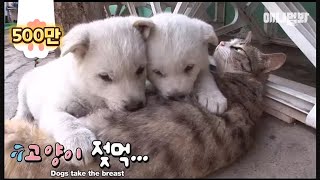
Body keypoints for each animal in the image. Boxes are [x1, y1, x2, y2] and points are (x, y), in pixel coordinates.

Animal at [11, 16, 154, 166]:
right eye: (105, 77)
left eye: (140, 70)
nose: (135, 107)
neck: (87, 91)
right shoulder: (53, 109)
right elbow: (66, 119)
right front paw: (78, 140)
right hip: (23, 86)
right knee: (22, 108)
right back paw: (20, 119)